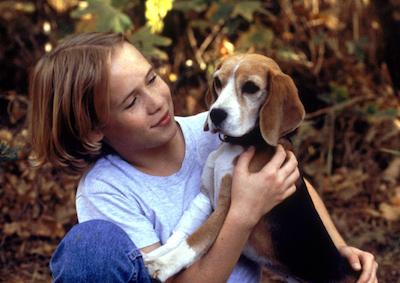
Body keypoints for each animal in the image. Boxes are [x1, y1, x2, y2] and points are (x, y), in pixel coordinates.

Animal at [145, 53, 360, 283]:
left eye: (250, 87)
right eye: (218, 82)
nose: (216, 114)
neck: (242, 143)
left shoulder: (226, 209)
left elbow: (195, 239)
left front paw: (163, 264)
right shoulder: (206, 197)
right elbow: (182, 234)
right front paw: (155, 254)